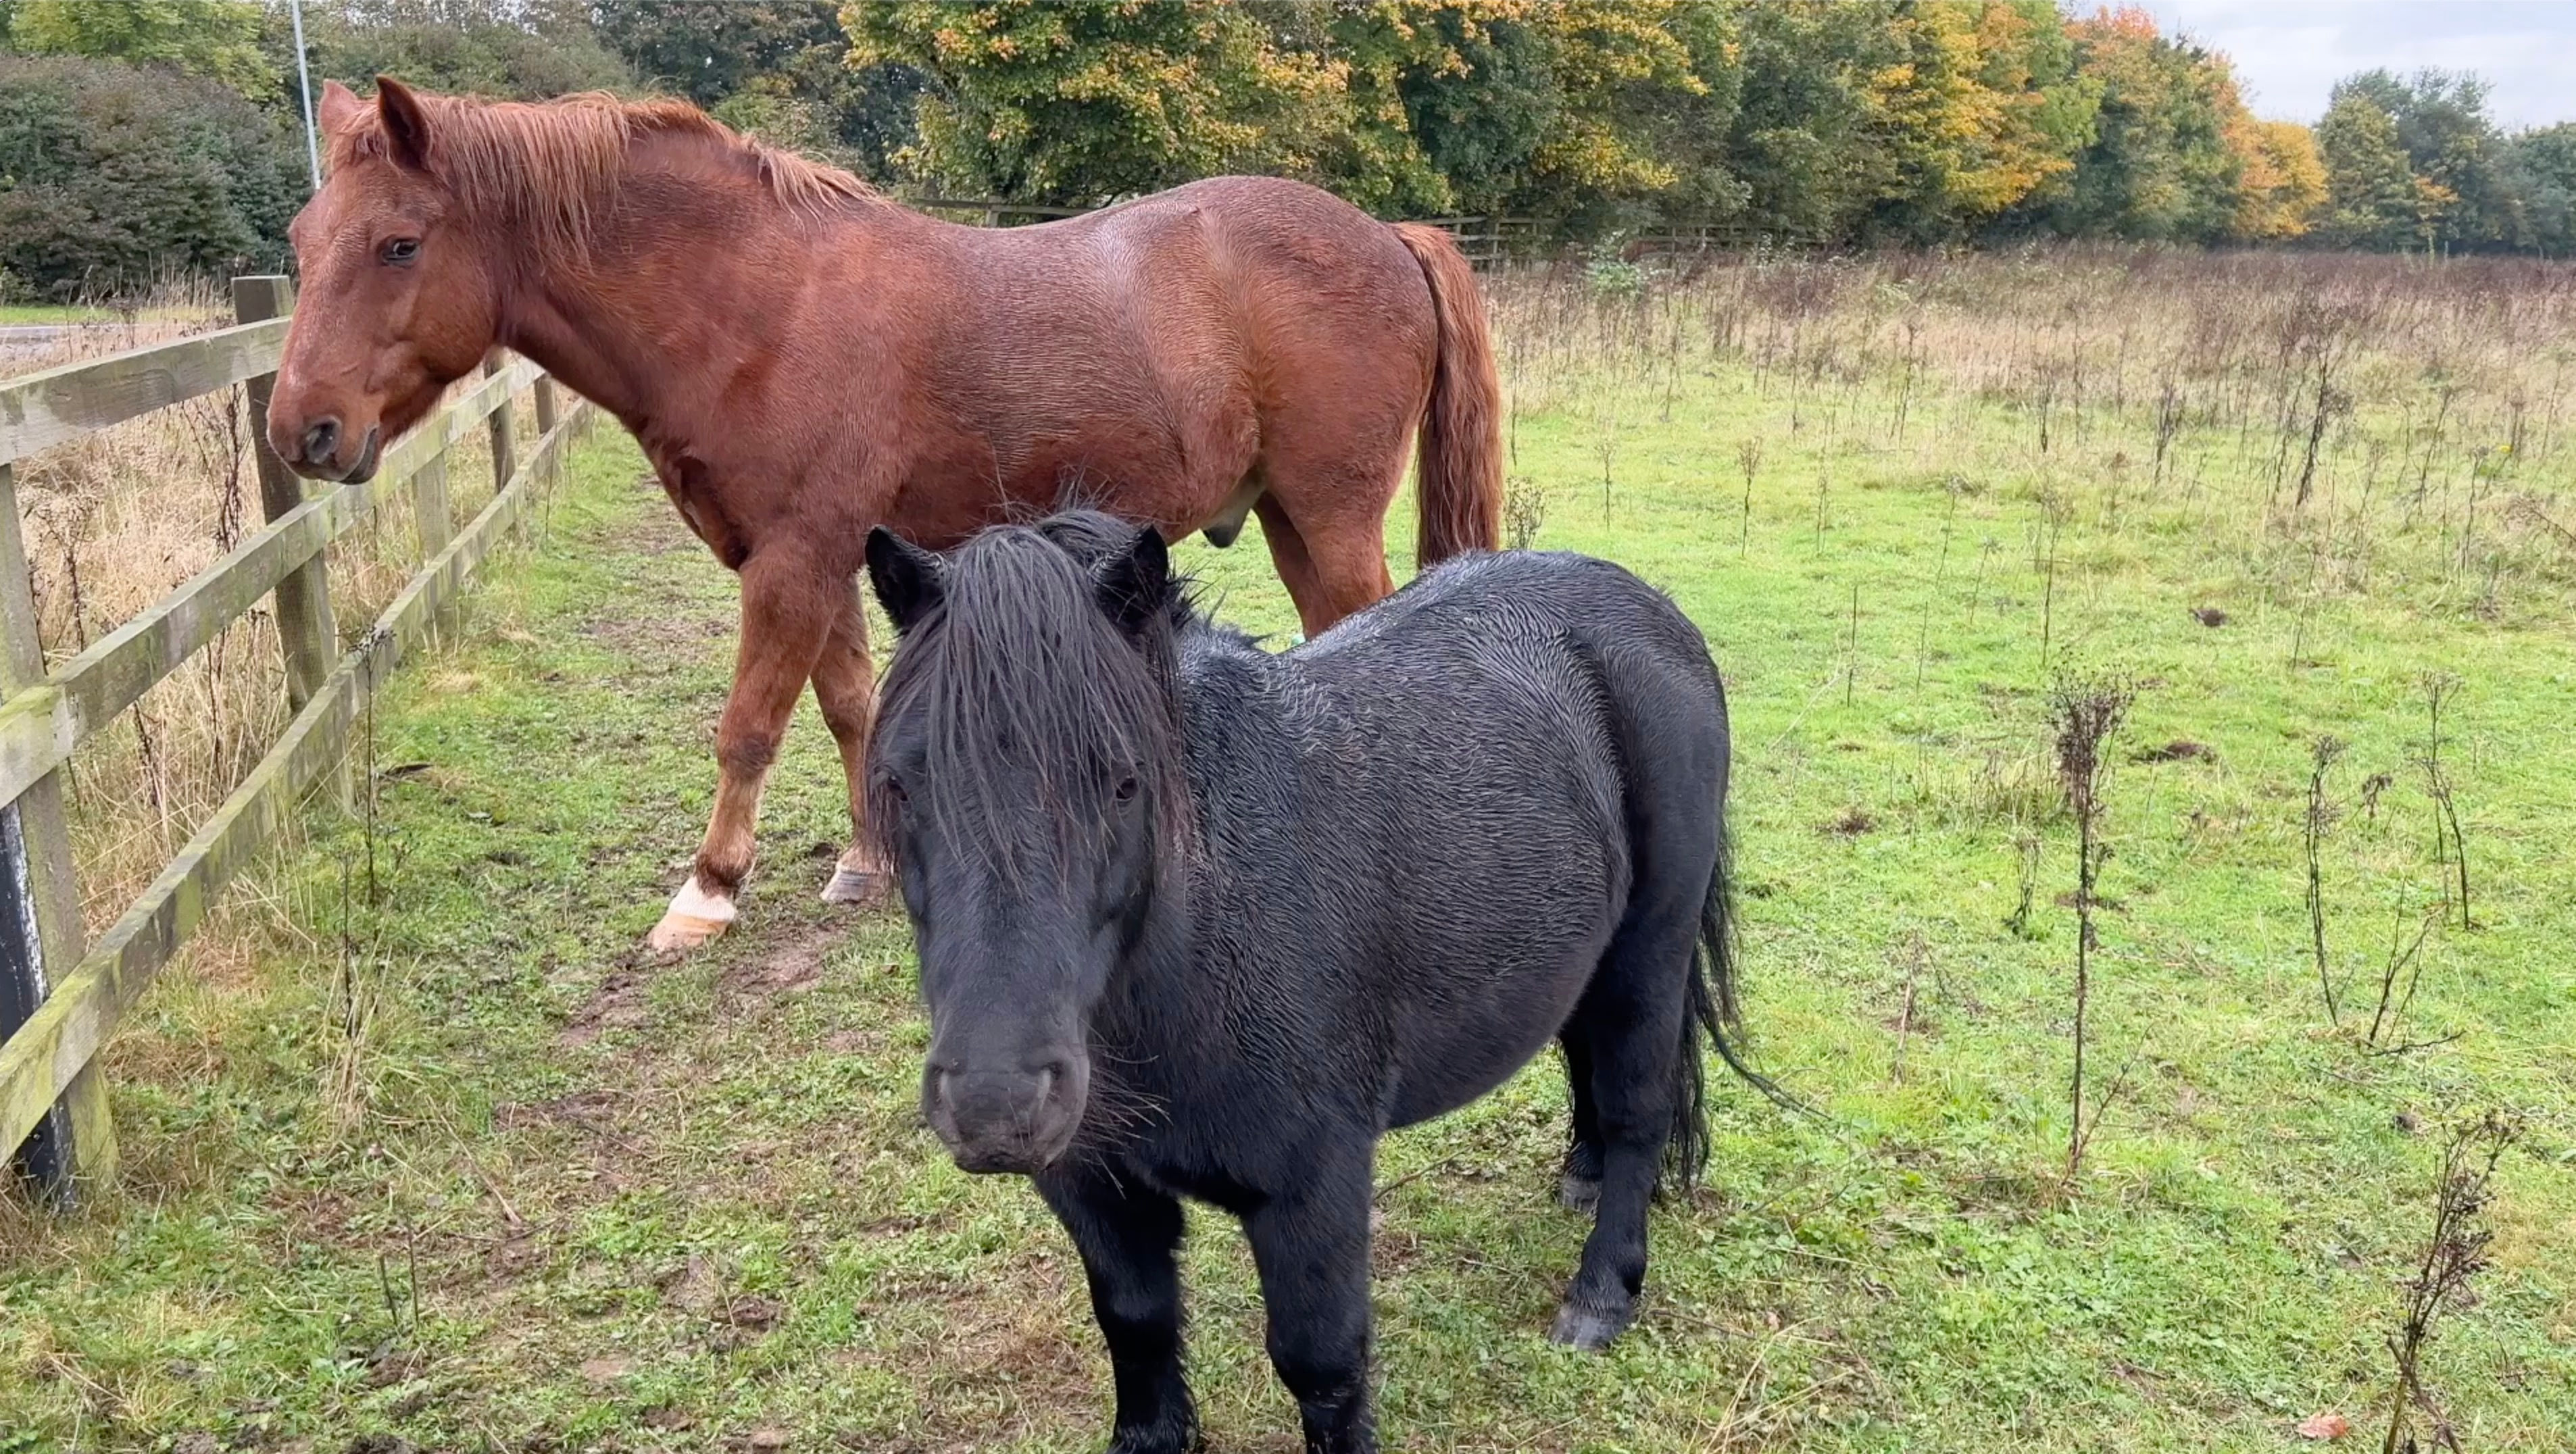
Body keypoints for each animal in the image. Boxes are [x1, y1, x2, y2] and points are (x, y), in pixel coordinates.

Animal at [264, 79, 1502, 952]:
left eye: (399, 244)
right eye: (301, 241)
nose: (300, 431)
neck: (757, 305)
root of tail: (1389, 235)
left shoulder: (795, 558)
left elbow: (751, 726)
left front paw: (706, 893)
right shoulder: (813, 555)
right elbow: (850, 706)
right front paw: (872, 859)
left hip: (1330, 516)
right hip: (1290, 518)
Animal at [861, 509, 1770, 1454]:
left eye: (1122, 782)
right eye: (899, 783)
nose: (995, 1104)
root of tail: (1642, 607)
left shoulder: (1313, 1187)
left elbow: (1320, 1363)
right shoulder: (1092, 1188)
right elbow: (1135, 1320)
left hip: (1651, 948)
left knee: (1637, 1109)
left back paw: (1599, 1293)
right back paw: (1580, 1171)